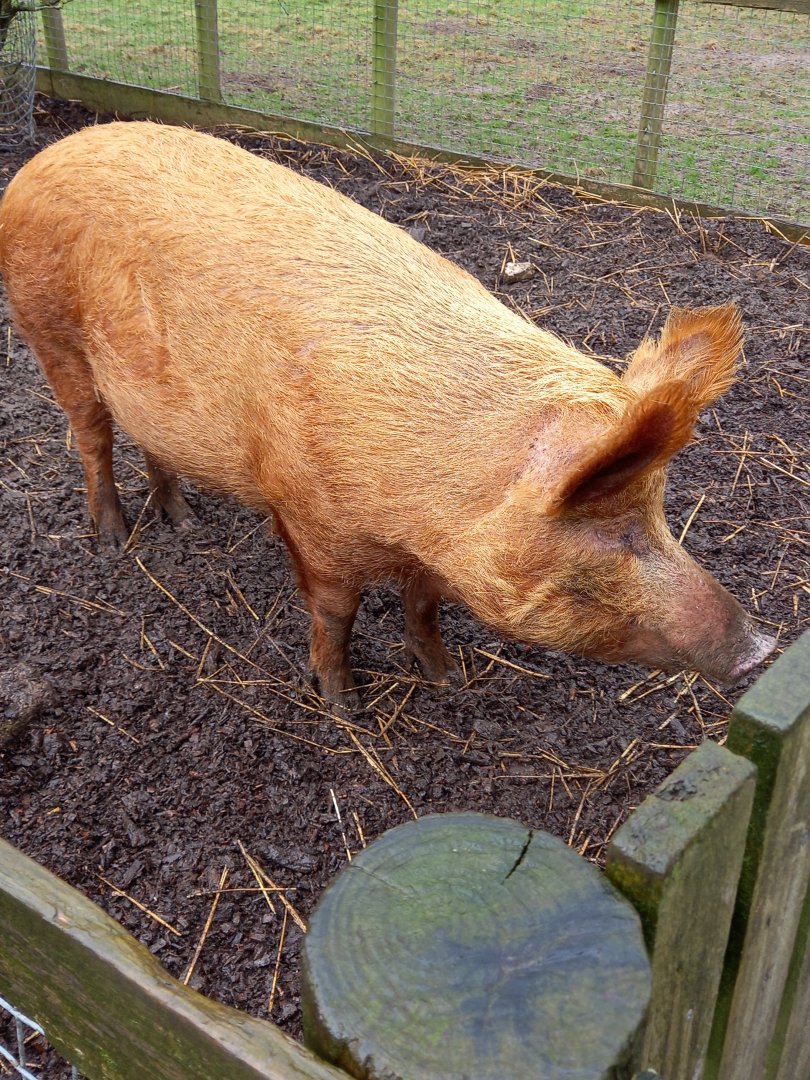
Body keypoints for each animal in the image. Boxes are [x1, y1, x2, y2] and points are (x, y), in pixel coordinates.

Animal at [0, 122, 774, 708]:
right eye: (613, 529)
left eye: (660, 515)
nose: (763, 647)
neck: (433, 503)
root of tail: (44, 157)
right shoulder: (308, 514)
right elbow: (335, 613)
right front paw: (343, 703)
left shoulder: (429, 553)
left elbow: (424, 607)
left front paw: (449, 680)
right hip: (48, 331)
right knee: (91, 435)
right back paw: (113, 540)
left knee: (148, 439)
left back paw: (183, 522)